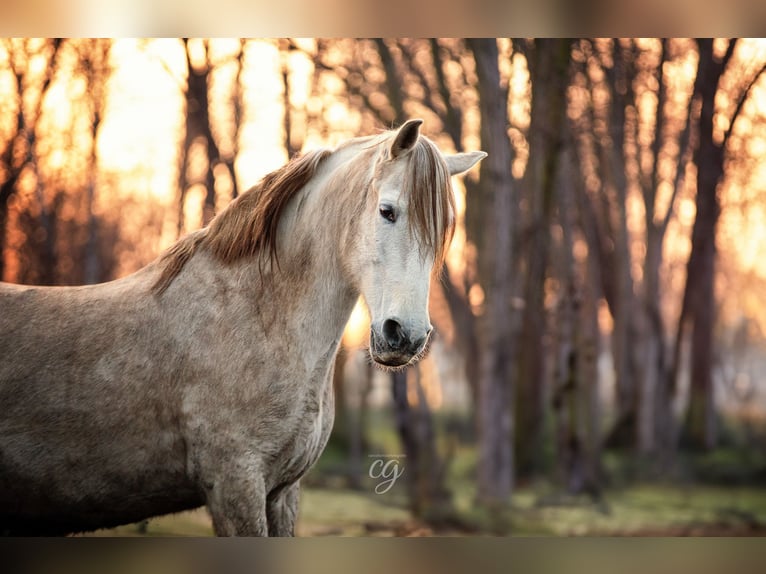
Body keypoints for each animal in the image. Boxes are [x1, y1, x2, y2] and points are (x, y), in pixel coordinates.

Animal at [0, 119, 486, 536]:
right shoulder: (235, 483)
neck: (257, 316)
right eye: (387, 211)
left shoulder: (282, 492)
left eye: (445, 230)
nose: (405, 336)